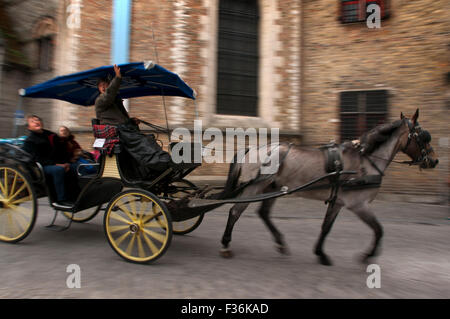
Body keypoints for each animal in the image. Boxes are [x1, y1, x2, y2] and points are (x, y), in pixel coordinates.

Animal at [220, 109, 438, 266]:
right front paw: (367, 256)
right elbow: (379, 230)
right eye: (424, 136)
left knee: (263, 213)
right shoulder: (359, 204)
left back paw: (280, 243)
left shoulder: (338, 202)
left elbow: (326, 227)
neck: (365, 160)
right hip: (253, 188)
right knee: (235, 212)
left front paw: (320, 254)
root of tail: (252, 148)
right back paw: (225, 244)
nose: (434, 161)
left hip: (271, 187)